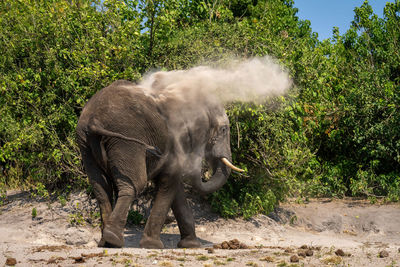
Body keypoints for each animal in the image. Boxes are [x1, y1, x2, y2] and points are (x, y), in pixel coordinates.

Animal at [76, 78, 242, 250]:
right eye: (223, 129)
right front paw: (152, 245)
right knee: (135, 184)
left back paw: (105, 242)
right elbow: (169, 182)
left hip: (85, 143)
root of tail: (94, 120)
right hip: (125, 139)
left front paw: (190, 245)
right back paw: (114, 239)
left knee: (101, 189)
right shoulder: (177, 140)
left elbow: (175, 188)